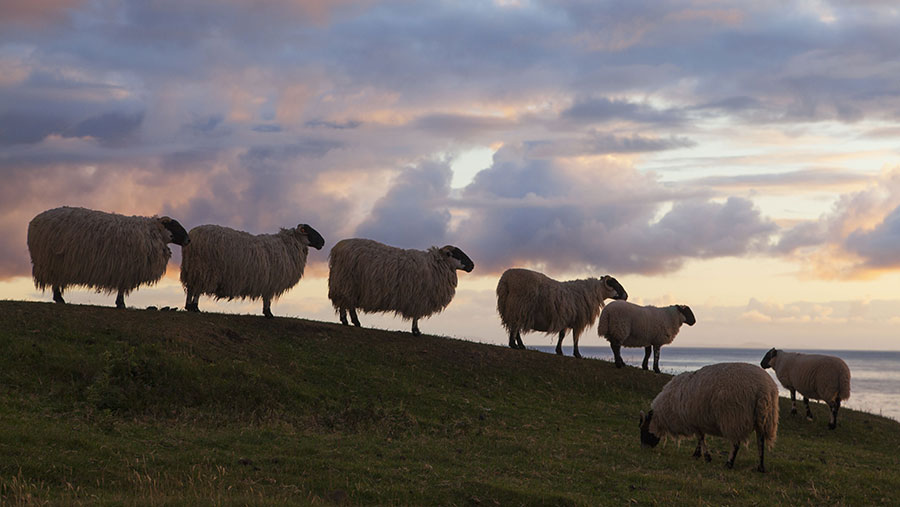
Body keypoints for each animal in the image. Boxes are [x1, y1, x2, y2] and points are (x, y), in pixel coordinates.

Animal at [27, 206, 191, 310]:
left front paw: (120, 303)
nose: (188, 240)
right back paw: (59, 298)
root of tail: (35, 221)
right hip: (51, 261)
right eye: (175, 226)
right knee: (55, 281)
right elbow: (122, 288)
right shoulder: (127, 268)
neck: (153, 233)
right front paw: (121, 304)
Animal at [181, 224, 326, 320]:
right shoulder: (271, 282)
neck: (289, 245)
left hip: (192, 269)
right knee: (197, 289)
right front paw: (268, 314)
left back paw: (188, 306)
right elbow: (267, 298)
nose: (323, 242)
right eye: (309, 231)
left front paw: (267, 312)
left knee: (191, 288)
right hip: (204, 269)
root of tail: (192, 236)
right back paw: (195, 307)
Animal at [326, 239, 474, 338]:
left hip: (348, 284)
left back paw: (352, 322)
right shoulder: (419, 297)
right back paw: (349, 320)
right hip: (346, 281)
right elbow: (416, 316)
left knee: (347, 303)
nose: (472, 265)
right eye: (457, 254)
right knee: (346, 303)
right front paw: (416, 331)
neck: (435, 265)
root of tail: (337, 248)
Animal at [496, 268, 628, 360]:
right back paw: (513, 344)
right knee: (515, 327)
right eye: (614, 283)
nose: (626, 296)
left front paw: (559, 351)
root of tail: (505, 280)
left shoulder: (566, 318)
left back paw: (520, 345)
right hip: (518, 306)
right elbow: (576, 338)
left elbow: (562, 335)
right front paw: (577, 354)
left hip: (515, 309)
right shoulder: (578, 320)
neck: (594, 292)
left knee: (515, 328)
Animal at [640, 362, 780, 472]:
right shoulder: (697, 420)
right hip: (764, 419)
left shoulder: (693, 420)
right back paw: (760, 467)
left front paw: (706, 457)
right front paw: (697, 454)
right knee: (760, 442)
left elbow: (701, 438)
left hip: (734, 417)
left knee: (736, 444)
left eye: (643, 429)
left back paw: (729, 464)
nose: (643, 448)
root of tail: (763, 389)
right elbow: (700, 438)